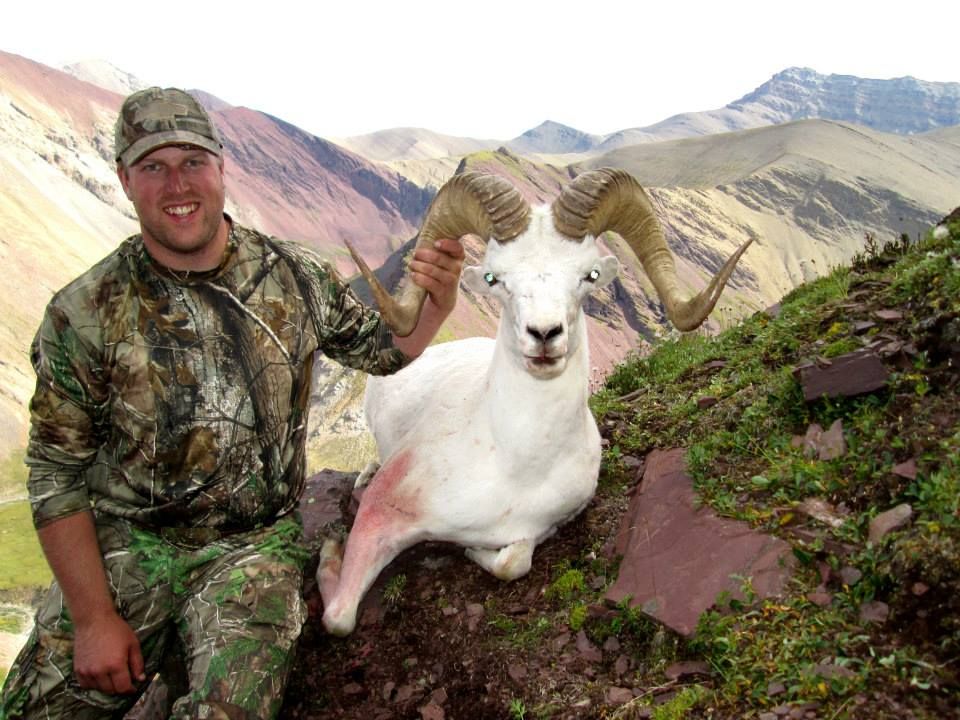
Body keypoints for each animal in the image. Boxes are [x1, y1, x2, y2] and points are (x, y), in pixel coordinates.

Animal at [317, 168, 752, 636]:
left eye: (589, 275)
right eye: (495, 279)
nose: (544, 335)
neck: (517, 464)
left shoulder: (541, 526)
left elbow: (513, 562)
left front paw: (474, 552)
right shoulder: (382, 510)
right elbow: (338, 617)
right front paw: (330, 553)